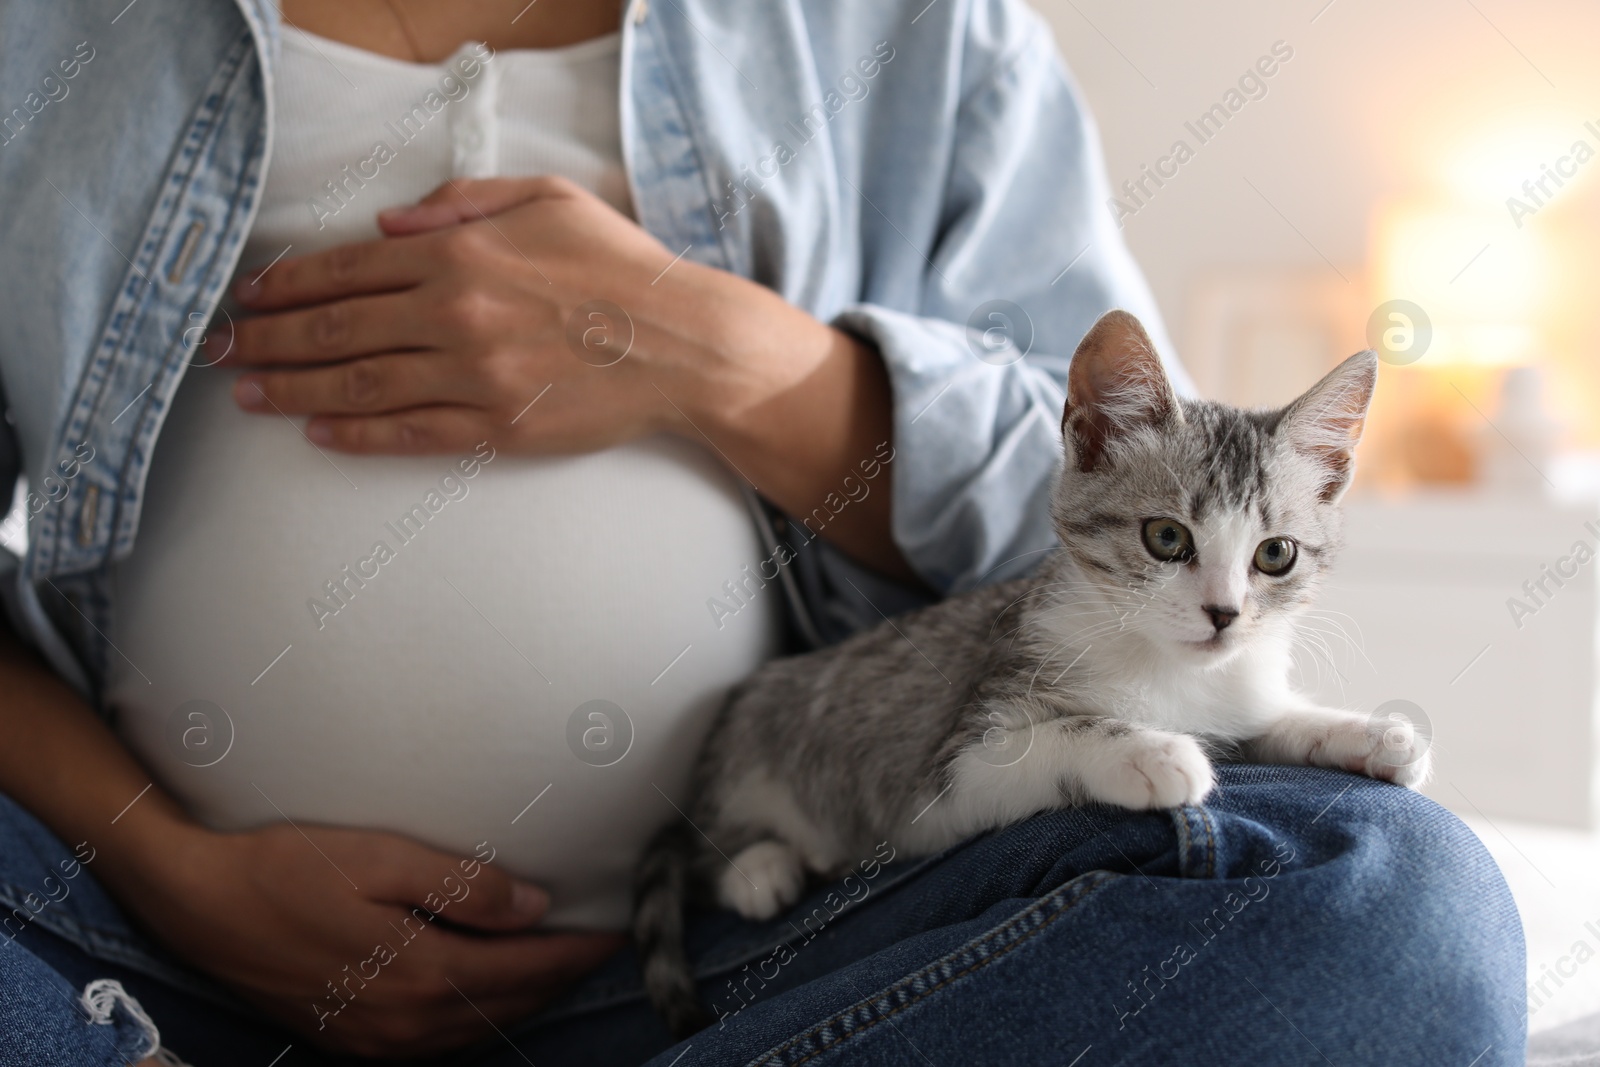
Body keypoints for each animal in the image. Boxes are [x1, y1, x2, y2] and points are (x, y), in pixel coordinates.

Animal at [630, 308, 1433, 1036]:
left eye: (1276, 554)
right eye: (1165, 537)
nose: (1224, 614)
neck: (1165, 664)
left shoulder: (1237, 693)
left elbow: (1276, 718)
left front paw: (1372, 734)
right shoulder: (953, 768)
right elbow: (1057, 734)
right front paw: (1150, 750)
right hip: (752, 748)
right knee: (702, 844)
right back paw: (759, 869)